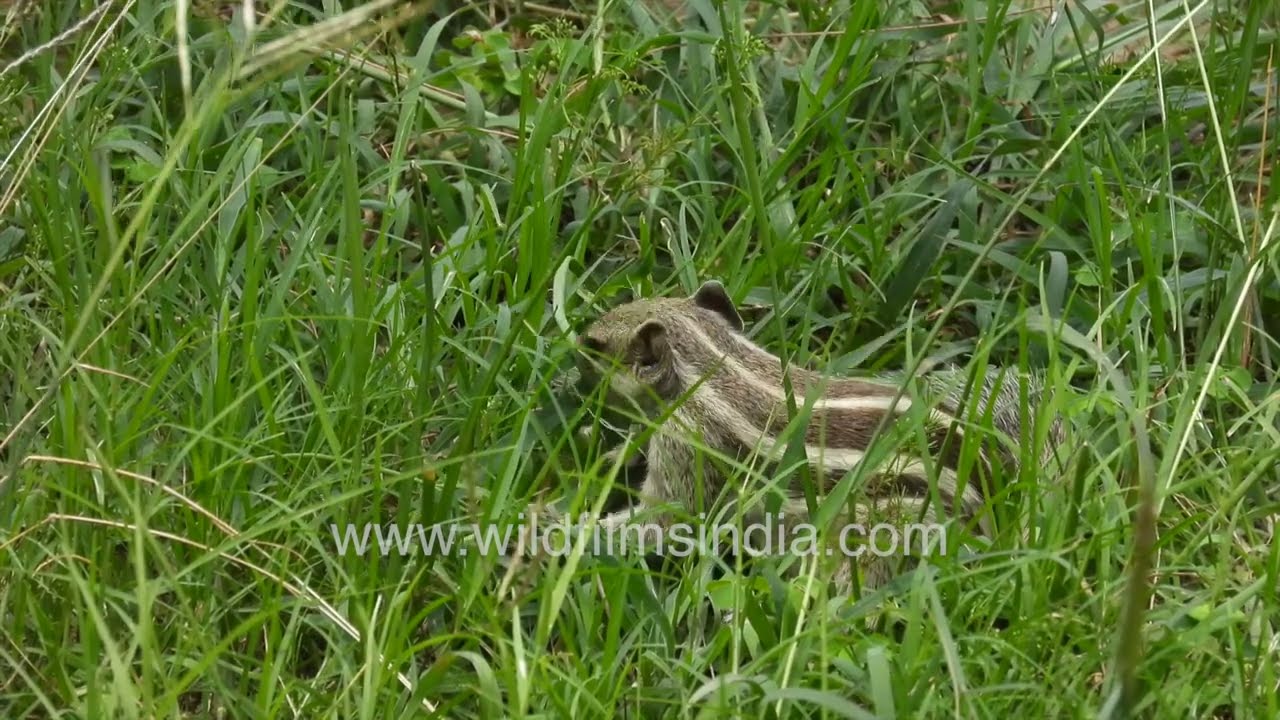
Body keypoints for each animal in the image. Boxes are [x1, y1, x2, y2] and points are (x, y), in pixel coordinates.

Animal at [569, 280, 1067, 591]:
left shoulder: (690, 461)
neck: (715, 367)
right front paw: (609, 453)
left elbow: (661, 524)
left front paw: (564, 531)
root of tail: (998, 518)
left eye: (596, 346)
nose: (573, 343)